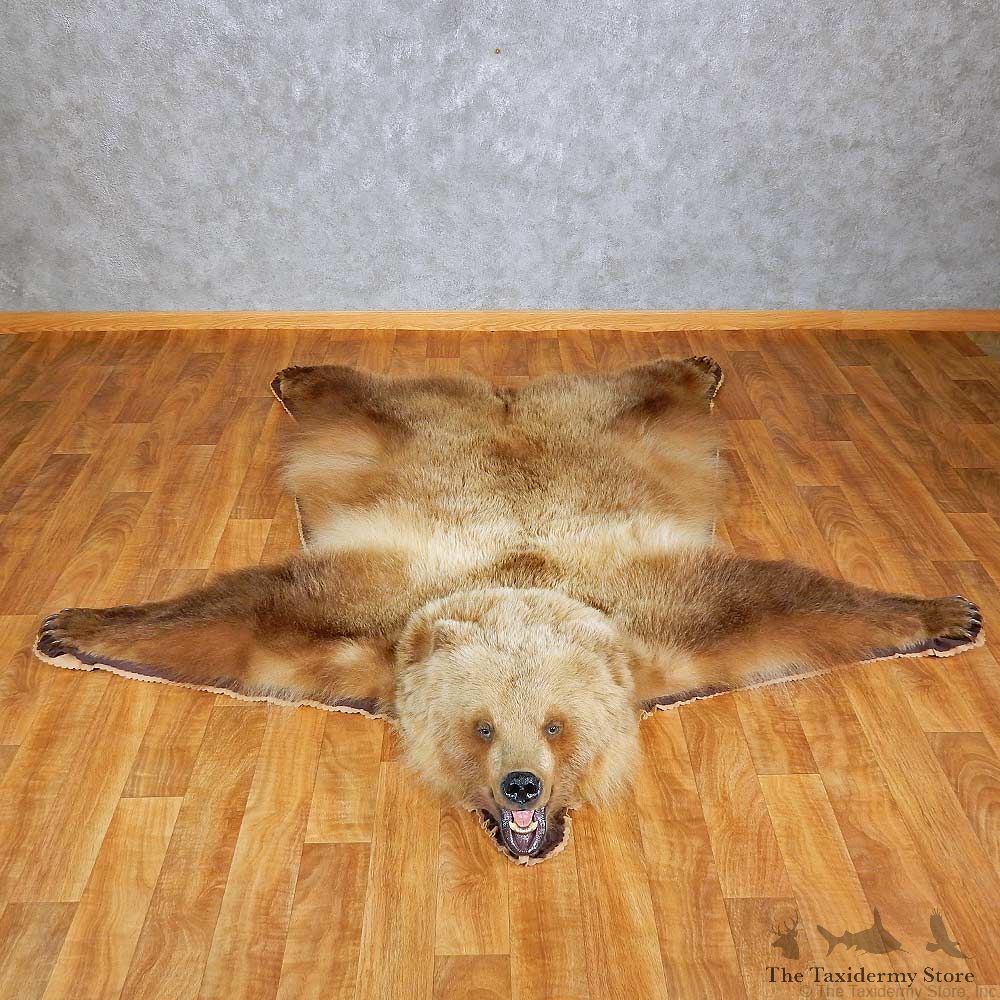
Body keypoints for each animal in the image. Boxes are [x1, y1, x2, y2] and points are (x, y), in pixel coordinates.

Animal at [34, 357, 984, 861]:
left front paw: (947, 614)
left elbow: (794, 607)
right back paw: (298, 370)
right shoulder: (361, 629)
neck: (520, 586)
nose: (522, 790)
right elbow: (240, 625)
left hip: (606, 427)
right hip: (404, 434)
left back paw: (698, 364)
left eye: (557, 726)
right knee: (363, 398)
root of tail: (507, 397)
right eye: (481, 727)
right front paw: (75, 628)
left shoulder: (670, 626)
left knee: (645, 395)